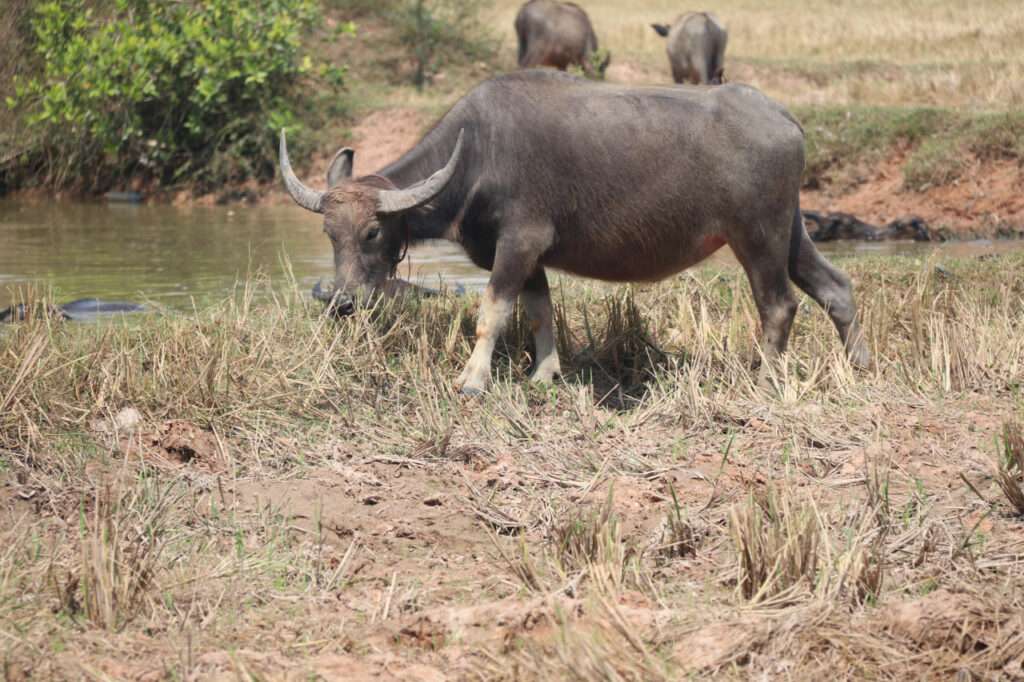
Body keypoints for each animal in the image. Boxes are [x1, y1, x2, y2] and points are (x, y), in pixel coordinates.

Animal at [280, 70, 869, 393]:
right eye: (330, 233)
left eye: (372, 233)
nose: (340, 301)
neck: (476, 155)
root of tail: (785, 119)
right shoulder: (530, 256)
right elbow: (540, 311)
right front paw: (545, 373)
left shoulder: (519, 243)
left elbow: (493, 311)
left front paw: (472, 381)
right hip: (790, 232)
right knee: (836, 288)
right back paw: (857, 364)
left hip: (758, 235)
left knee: (779, 304)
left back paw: (764, 377)